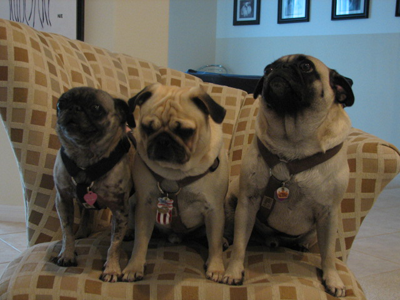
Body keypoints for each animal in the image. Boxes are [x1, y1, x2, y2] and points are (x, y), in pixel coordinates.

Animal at [53, 86, 136, 282]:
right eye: (60, 104)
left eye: (96, 108)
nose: (73, 108)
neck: (85, 155)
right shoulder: (63, 200)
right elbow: (67, 232)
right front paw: (67, 254)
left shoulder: (119, 209)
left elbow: (114, 244)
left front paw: (112, 269)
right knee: (85, 216)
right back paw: (82, 233)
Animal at [120, 83, 228, 282]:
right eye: (147, 128)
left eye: (185, 131)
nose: (163, 140)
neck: (176, 174)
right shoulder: (145, 205)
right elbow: (140, 241)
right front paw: (134, 266)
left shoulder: (214, 209)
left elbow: (214, 242)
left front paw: (216, 267)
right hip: (132, 201)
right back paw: (129, 231)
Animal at [223, 54, 354, 298]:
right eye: (267, 69)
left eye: (305, 66)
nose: (278, 69)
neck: (293, 146)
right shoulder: (248, 202)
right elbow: (240, 244)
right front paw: (233, 271)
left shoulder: (329, 212)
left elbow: (329, 254)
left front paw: (332, 279)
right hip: (232, 205)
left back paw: (300, 244)